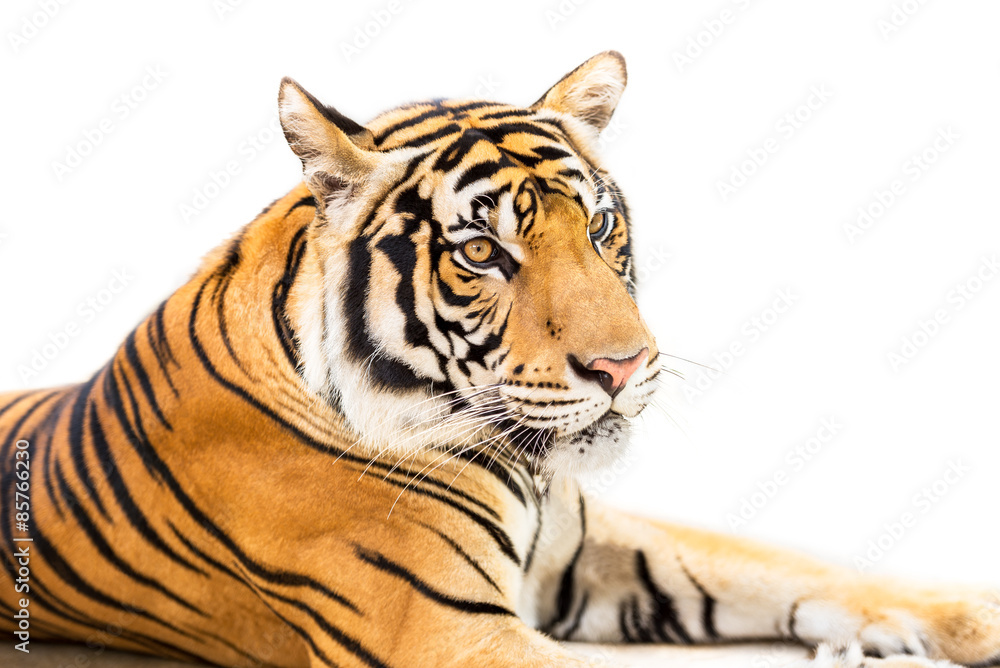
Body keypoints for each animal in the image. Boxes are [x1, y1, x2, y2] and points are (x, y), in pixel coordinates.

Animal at [1, 51, 998, 668]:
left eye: (599, 225)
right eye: (482, 253)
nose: (623, 369)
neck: (526, 469)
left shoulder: (594, 550)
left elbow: (791, 564)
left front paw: (960, 618)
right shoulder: (447, 632)